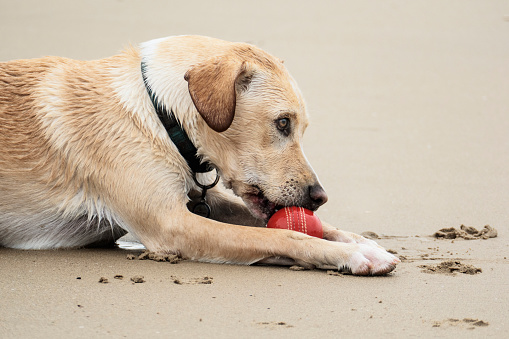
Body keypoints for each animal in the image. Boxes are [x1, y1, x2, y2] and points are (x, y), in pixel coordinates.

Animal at [0, 35, 396, 276]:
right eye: (283, 123)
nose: (319, 197)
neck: (160, 112)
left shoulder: (201, 202)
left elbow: (308, 229)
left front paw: (358, 241)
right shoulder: (172, 225)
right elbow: (282, 237)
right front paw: (354, 256)